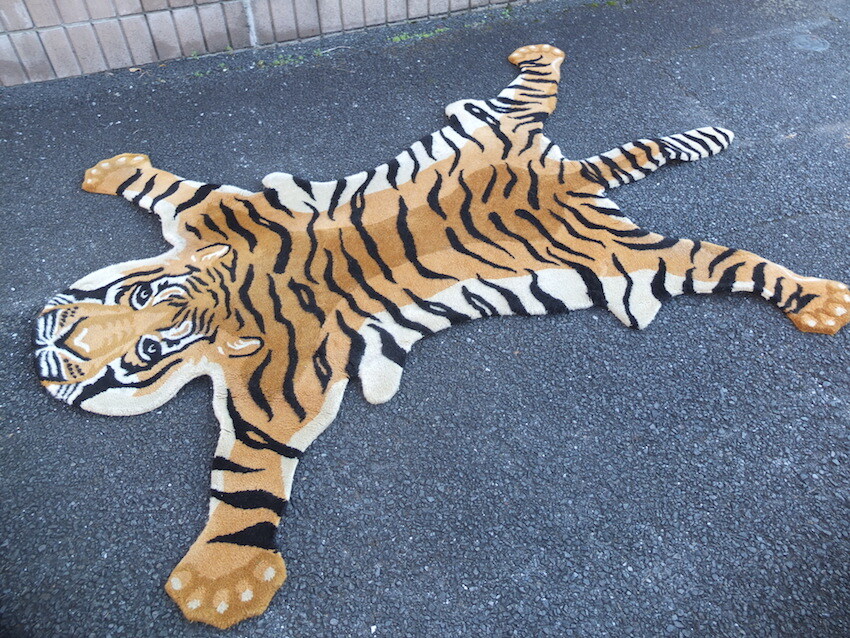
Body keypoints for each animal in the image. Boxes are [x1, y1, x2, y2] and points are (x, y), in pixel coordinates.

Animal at [34, 44, 849, 628]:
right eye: (135, 299)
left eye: (147, 349)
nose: (53, 351)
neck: (228, 300)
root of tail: (571, 177)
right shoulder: (219, 219)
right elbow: (166, 189)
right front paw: (114, 169)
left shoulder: (275, 397)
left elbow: (246, 480)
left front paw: (221, 581)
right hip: (503, 130)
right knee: (535, 90)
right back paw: (539, 49)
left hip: (648, 255)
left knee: (733, 259)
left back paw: (819, 298)